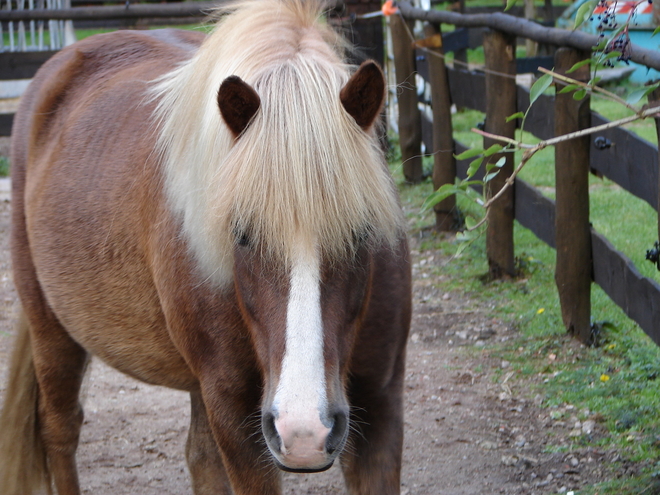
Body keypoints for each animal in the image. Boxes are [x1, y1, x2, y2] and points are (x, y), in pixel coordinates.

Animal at [0, 0, 410, 494]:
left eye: (361, 232)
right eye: (242, 233)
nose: (304, 431)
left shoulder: (381, 404)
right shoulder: (232, 411)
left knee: (199, 456)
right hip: (51, 329)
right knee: (60, 430)